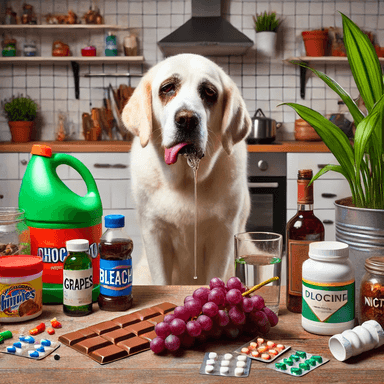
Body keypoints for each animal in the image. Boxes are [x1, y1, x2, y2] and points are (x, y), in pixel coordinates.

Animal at [121, 54, 250, 284]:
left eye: (209, 92)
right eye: (168, 88)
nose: (187, 119)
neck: (187, 180)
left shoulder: (223, 236)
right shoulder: (155, 234)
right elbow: (161, 280)